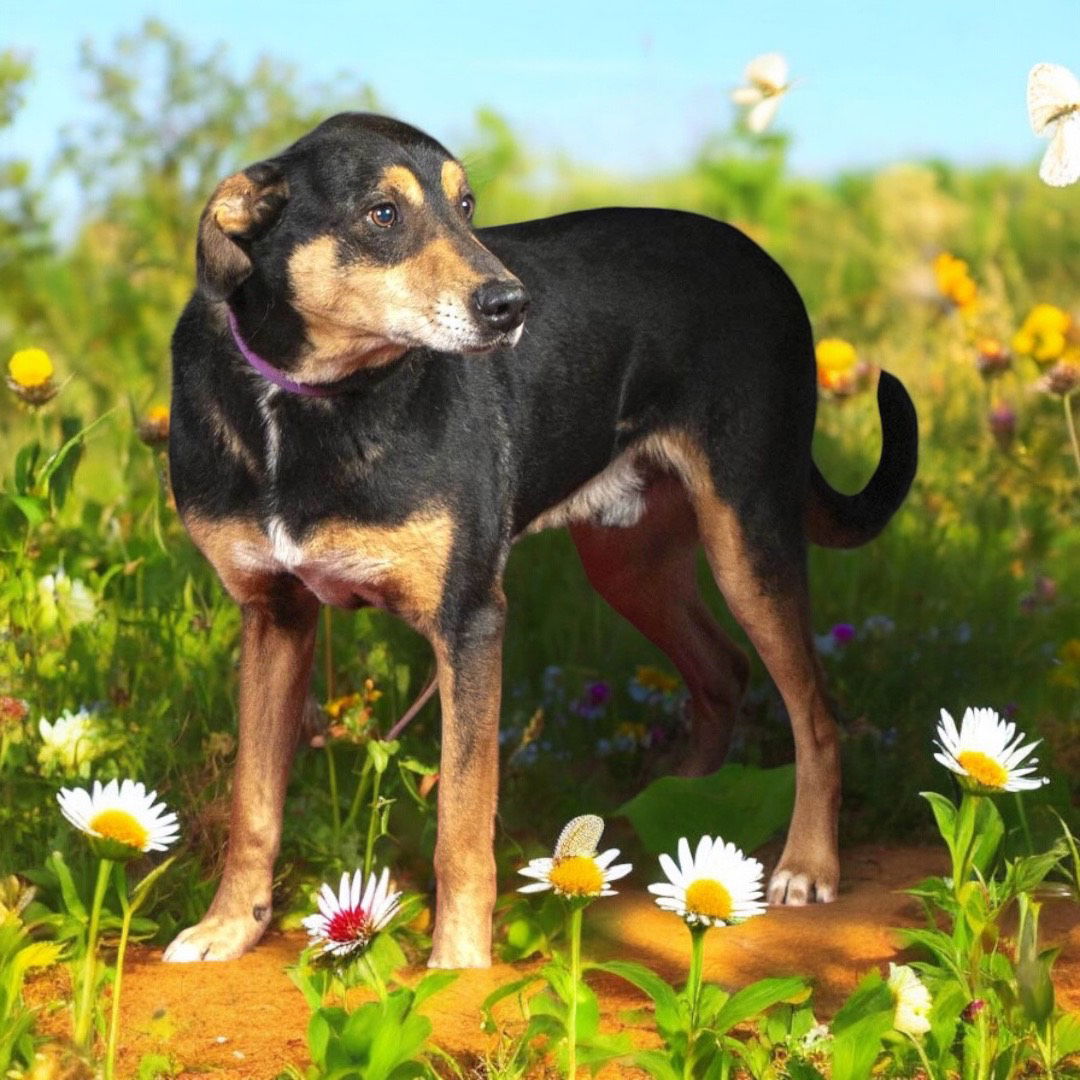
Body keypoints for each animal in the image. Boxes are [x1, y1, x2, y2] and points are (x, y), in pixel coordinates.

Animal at [162, 113, 920, 967]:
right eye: (382, 214)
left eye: (467, 205)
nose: (509, 305)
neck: (308, 403)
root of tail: (762, 260)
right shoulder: (274, 616)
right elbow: (254, 805)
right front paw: (231, 926)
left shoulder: (469, 622)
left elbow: (461, 822)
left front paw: (458, 965)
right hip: (629, 564)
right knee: (722, 672)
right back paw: (658, 820)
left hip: (747, 537)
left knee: (816, 714)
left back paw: (808, 865)